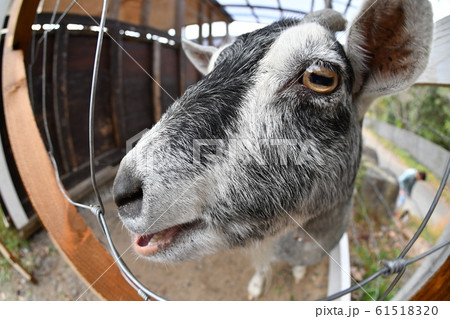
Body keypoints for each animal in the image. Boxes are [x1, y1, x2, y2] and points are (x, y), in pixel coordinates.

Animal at [112, 0, 432, 300]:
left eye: (320, 77)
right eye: (212, 65)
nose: (124, 192)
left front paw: (299, 272)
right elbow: (262, 266)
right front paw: (256, 286)